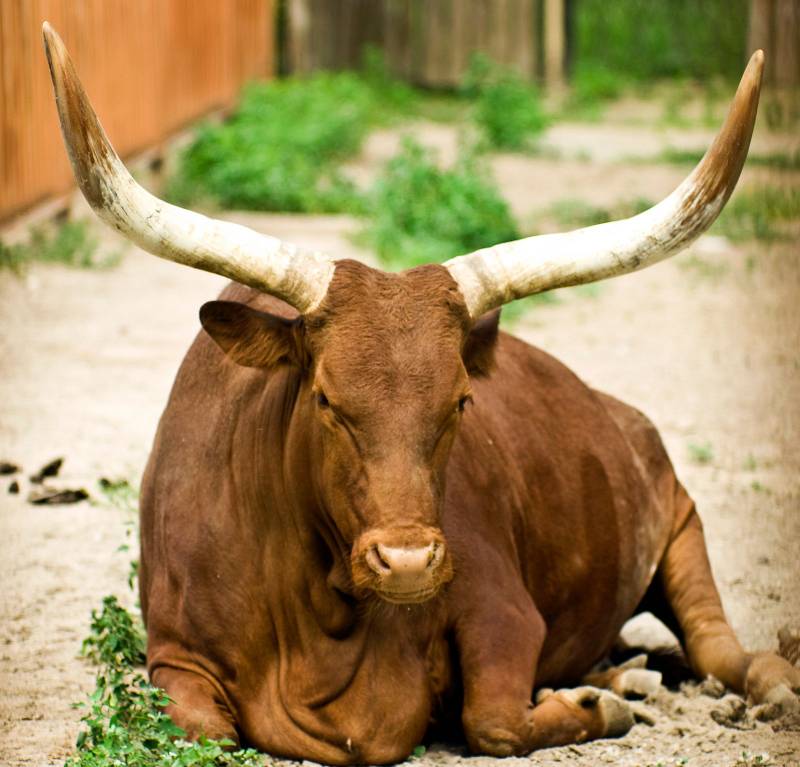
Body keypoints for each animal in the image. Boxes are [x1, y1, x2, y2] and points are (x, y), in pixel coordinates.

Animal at [43, 23, 799, 764]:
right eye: (325, 399)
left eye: (461, 401)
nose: (407, 560)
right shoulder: (176, 654)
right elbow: (202, 726)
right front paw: (599, 695)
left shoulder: (501, 607)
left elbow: (494, 720)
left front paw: (596, 709)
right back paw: (622, 675)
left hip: (680, 518)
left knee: (716, 645)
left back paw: (756, 682)